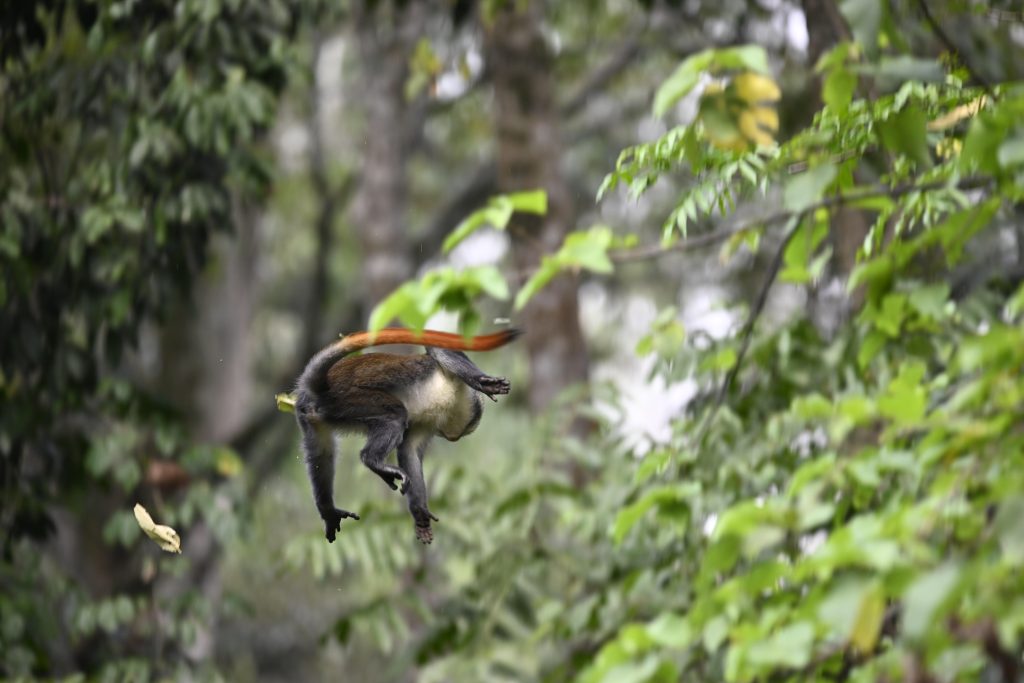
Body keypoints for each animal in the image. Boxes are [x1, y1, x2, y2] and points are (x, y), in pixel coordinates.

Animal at [294, 327, 519, 544]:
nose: (452, 438)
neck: (453, 400)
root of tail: (320, 386)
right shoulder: (450, 379)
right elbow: (437, 350)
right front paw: (482, 382)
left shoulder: (426, 424)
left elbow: (409, 451)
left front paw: (420, 513)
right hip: (348, 399)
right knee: (395, 415)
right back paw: (373, 460)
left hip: (312, 417)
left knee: (322, 453)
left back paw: (327, 510)